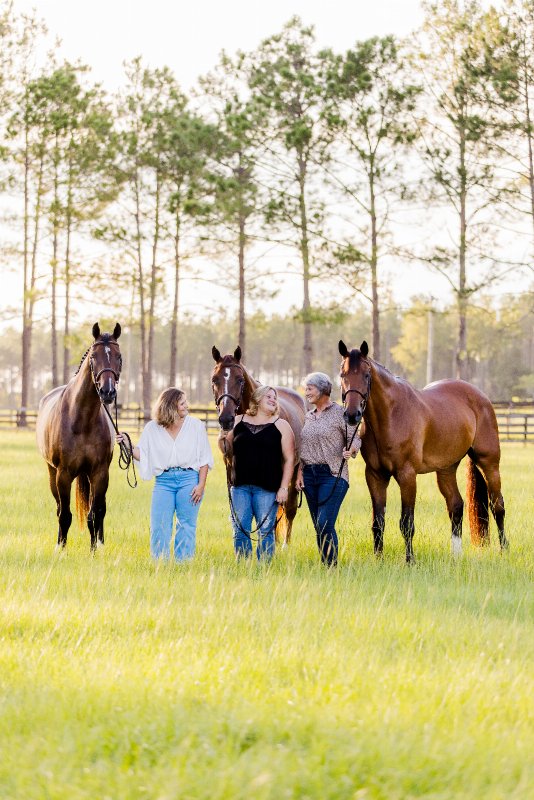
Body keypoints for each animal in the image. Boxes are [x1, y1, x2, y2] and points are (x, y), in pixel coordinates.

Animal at [36, 322, 123, 551]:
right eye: (93, 356)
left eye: (118, 356)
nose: (108, 392)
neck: (82, 421)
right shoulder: (63, 474)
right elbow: (64, 515)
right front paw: (61, 549)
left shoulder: (100, 473)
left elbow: (95, 514)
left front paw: (94, 551)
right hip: (52, 473)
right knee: (60, 508)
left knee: (100, 510)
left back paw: (100, 542)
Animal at [211, 346, 306, 542]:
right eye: (214, 379)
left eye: (240, 379)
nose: (226, 419)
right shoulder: (231, 472)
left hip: (294, 471)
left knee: (289, 509)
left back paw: (285, 545)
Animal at [338, 339, 507, 563]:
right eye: (343, 375)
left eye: (366, 375)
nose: (352, 415)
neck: (391, 416)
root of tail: (481, 397)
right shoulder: (375, 476)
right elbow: (378, 522)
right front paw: (378, 559)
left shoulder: (407, 475)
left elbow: (406, 523)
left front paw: (410, 560)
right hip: (446, 469)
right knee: (456, 506)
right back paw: (456, 556)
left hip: (489, 463)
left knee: (497, 506)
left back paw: (504, 550)